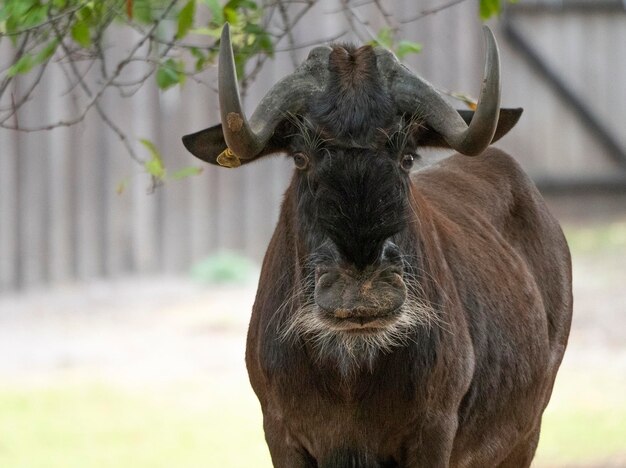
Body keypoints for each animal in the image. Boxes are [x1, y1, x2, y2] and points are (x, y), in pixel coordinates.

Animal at [180, 24, 572, 468]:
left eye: (407, 156)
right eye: (300, 156)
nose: (362, 291)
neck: (348, 377)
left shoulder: (433, 432)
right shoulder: (280, 433)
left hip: (525, 435)